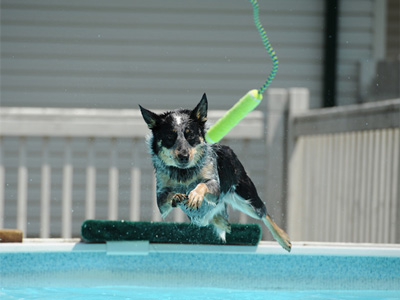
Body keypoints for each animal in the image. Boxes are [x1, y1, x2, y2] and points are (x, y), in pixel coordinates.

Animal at [139, 94, 292, 253]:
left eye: (190, 135)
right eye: (170, 136)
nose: (184, 156)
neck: (184, 173)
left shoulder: (215, 186)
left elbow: (202, 184)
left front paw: (195, 195)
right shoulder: (160, 198)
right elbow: (167, 196)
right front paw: (176, 196)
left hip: (246, 198)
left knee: (263, 212)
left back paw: (283, 238)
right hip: (202, 218)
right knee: (210, 217)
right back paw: (222, 222)